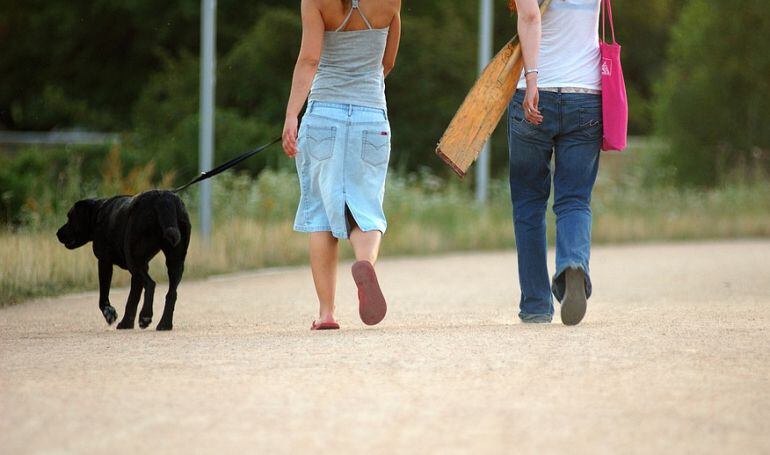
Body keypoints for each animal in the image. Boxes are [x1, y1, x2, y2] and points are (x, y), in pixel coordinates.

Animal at [56, 190, 190, 332]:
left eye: (70, 217)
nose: (58, 233)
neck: (97, 214)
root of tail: (164, 198)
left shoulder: (104, 261)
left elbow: (103, 297)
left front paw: (110, 314)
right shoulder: (142, 268)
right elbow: (132, 299)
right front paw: (126, 323)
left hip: (134, 261)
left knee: (151, 284)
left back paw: (145, 316)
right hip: (175, 261)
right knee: (171, 294)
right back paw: (164, 324)